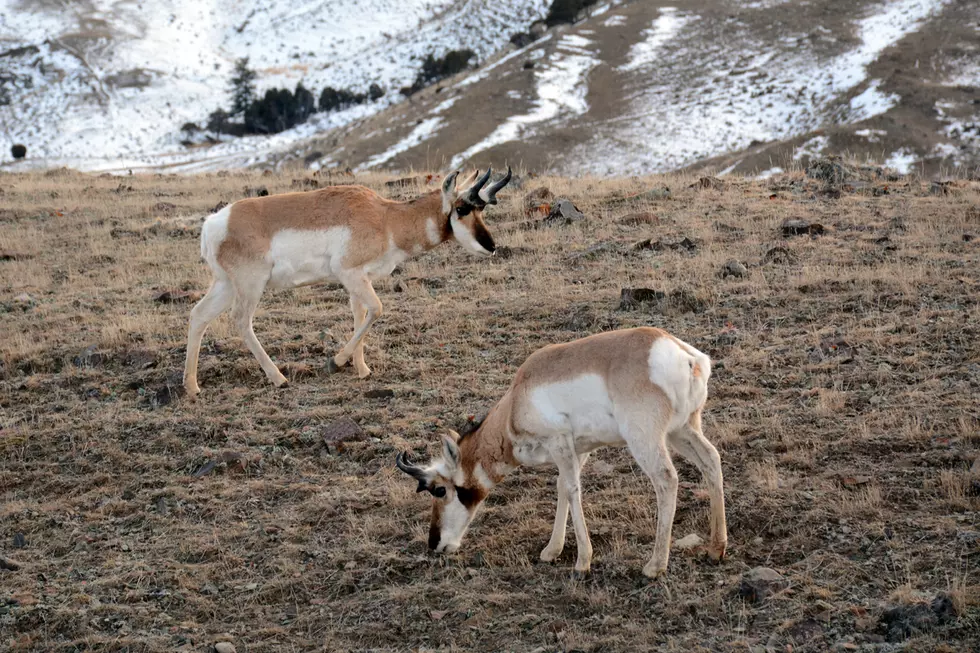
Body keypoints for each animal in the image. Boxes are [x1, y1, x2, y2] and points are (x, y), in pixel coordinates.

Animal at [181, 166, 512, 394]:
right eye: (462, 208)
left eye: (482, 209)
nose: (491, 247)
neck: (386, 218)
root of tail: (214, 223)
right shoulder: (349, 274)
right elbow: (377, 309)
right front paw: (336, 362)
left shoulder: (359, 280)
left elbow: (360, 315)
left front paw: (362, 369)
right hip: (250, 286)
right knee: (240, 320)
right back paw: (279, 378)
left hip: (225, 286)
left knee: (198, 315)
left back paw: (192, 386)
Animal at [396, 326, 728, 576]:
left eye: (439, 490)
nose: (434, 544)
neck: (516, 400)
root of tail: (682, 353)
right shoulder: (578, 450)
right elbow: (562, 488)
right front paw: (551, 550)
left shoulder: (559, 443)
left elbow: (571, 489)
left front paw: (582, 561)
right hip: (682, 430)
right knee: (711, 460)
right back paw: (716, 548)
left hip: (646, 439)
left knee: (666, 479)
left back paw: (654, 566)